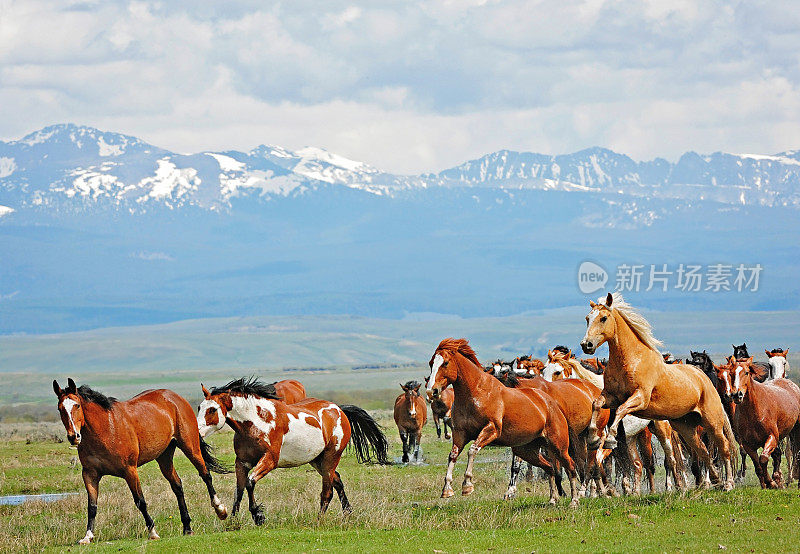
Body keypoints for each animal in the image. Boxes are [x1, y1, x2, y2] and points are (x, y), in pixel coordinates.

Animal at [53, 378, 230, 540]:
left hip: (190, 447)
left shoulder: (130, 471)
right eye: (60, 408)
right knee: (177, 485)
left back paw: (220, 510)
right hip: (164, 457)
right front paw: (88, 536)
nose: (73, 437)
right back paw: (187, 527)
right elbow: (92, 506)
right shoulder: (90, 474)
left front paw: (153, 532)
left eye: (77, 405)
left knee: (205, 475)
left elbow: (140, 501)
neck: (105, 429)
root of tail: (175, 397)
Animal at [198, 374, 390, 520]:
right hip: (317, 460)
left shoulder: (270, 460)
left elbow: (250, 483)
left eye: (212, 410)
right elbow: (239, 490)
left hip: (331, 457)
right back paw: (348, 513)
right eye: (199, 407)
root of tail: (339, 410)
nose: (197, 433)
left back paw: (319, 520)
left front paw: (257, 515)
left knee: (327, 492)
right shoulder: (242, 462)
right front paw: (232, 520)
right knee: (337, 481)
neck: (257, 421)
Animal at [424, 336, 580, 504]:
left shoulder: (491, 430)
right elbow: (452, 456)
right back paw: (552, 499)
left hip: (558, 446)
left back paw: (574, 501)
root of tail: (553, 404)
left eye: (445, 363)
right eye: (431, 363)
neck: (476, 392)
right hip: (526, 450)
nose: (431, 391)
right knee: (549, 467)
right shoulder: (460, 433)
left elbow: (472, 450)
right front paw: (447, 489)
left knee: (570, 467)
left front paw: (467, 485)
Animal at [580, 292, 736, 490]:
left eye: (603, 318)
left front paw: (610, 438)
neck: (631, 359)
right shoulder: (611, 397)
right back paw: (715, 481)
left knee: (723, 448)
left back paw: (728, 483)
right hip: (686, 427)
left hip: (712, 423)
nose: (586, 345)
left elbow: (621, 410)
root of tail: (704, 379)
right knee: (702, 451)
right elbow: (596, 404)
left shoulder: (640, 398)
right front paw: (593, 437)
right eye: (587, 318)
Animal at [720, 356, 800, 486]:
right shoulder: (748, 445)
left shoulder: (772, 437)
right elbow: (758, 467)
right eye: (731, 374)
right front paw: (768, 483)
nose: (737, 394)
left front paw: (772, 483)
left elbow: (763, 459)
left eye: (746, 372)